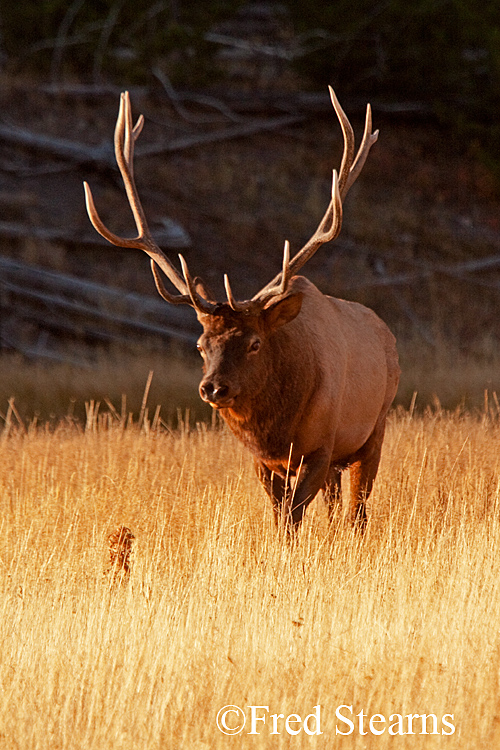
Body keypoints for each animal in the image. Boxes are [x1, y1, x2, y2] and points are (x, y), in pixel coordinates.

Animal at [84, 88, 400, 536]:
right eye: (200, 345)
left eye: (254, 344)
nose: (213, 388)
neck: (277, 432)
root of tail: (386, 332)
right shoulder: (264, 461)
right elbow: (281, 517)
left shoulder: (321, 446)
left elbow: (292, 520)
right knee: (338, 508)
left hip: (374, 430)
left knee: (357, 513)